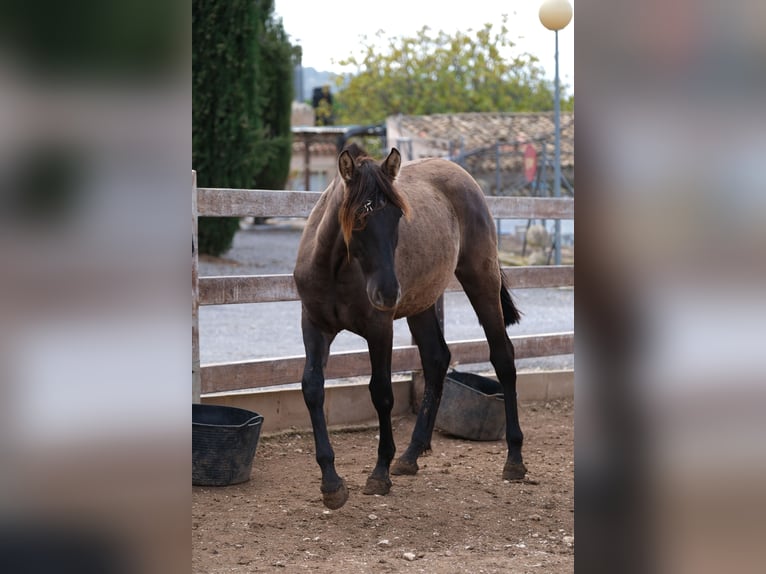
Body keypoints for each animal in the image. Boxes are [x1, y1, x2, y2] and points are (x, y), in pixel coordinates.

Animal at [293, 144, 527, 510]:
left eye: (397, 217)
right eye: (359, 219)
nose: (389, 292)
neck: (334, 268)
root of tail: (462, 175)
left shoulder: (380, 329)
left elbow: (381, 393)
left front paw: (379, 473)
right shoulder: (314, 326)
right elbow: (313, 389)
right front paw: (331, 483)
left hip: (481, 280)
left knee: (503, 357)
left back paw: (514, 459)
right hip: (422, 304)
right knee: (436, 360)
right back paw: (411, 454)